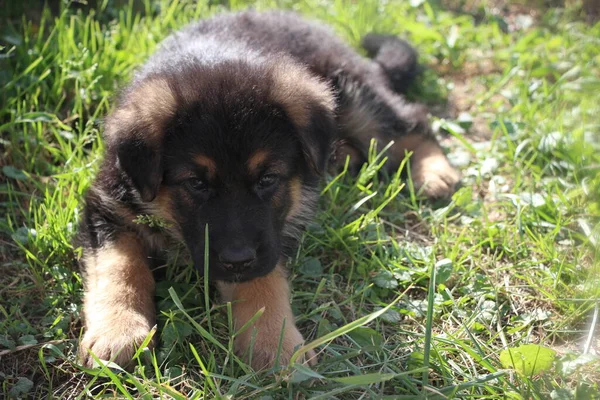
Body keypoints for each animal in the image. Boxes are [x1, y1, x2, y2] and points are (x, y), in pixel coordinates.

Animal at [76, 10, 460, 372]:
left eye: (267, 179)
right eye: (196, 183)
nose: (237, 259)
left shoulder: (275, 232)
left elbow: (263, 281)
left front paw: (272, 342)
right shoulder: (106, 206)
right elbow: (119, 267)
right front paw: (118, 330)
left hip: (354, 93)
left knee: (410, 120)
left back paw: (434, 172)